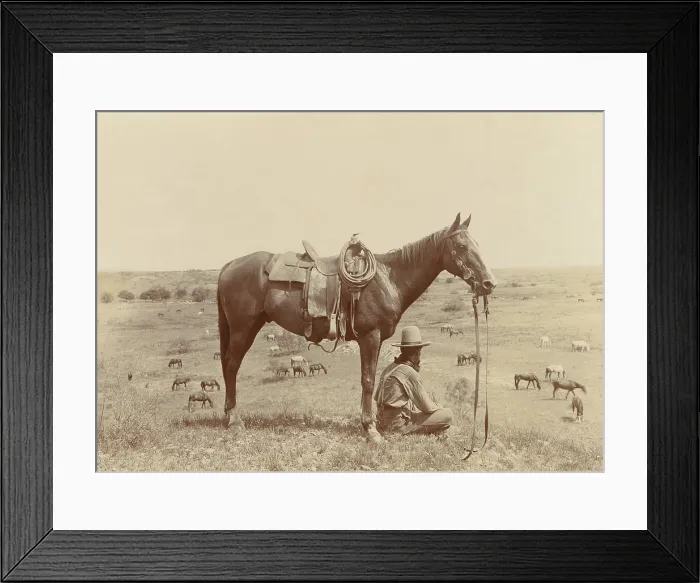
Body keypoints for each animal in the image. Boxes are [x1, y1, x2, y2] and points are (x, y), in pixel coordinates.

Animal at [216, 212, 495, 442]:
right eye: (461, 246)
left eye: (477, 245)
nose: (488, 283)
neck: (388, 278)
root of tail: (229, 265)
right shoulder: (370, 337)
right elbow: (368, 381)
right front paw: (370, 429)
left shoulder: (377, 339)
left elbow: (372, 378)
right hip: (243, 329)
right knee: (231, 365)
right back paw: (234, 419)